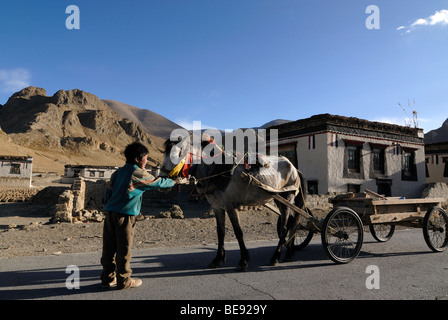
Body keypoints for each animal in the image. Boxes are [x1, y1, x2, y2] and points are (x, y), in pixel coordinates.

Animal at [162, 132, 308, 270]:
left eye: (178, 152)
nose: (163, 177)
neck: (218, 170)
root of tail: (294, 168)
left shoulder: (230, 206)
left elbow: (238, 232)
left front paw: (243, 261)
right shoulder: (217, 207)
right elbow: (220, 232)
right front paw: (217, 260)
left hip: (287, 197)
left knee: (285, 227)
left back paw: (275, 257)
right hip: (279, 199)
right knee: (293, 222)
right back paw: (288, 253)